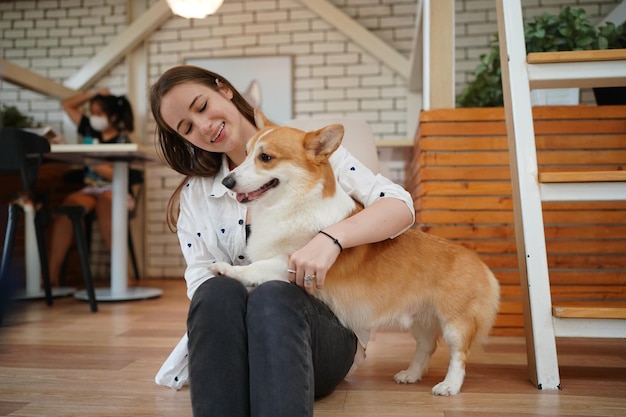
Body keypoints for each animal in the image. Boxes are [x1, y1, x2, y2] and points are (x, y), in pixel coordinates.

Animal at [210, 109, 498, 394]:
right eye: (246, 153)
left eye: (266, 157)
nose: (226, 181)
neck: (291, 205)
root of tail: (480, 264)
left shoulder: (293, 264)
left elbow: (257, 268)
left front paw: (227, 269)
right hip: (421, 320)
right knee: (427, 347)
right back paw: (411, 375)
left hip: (454, 323)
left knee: (458, 354)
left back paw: (449, 386)